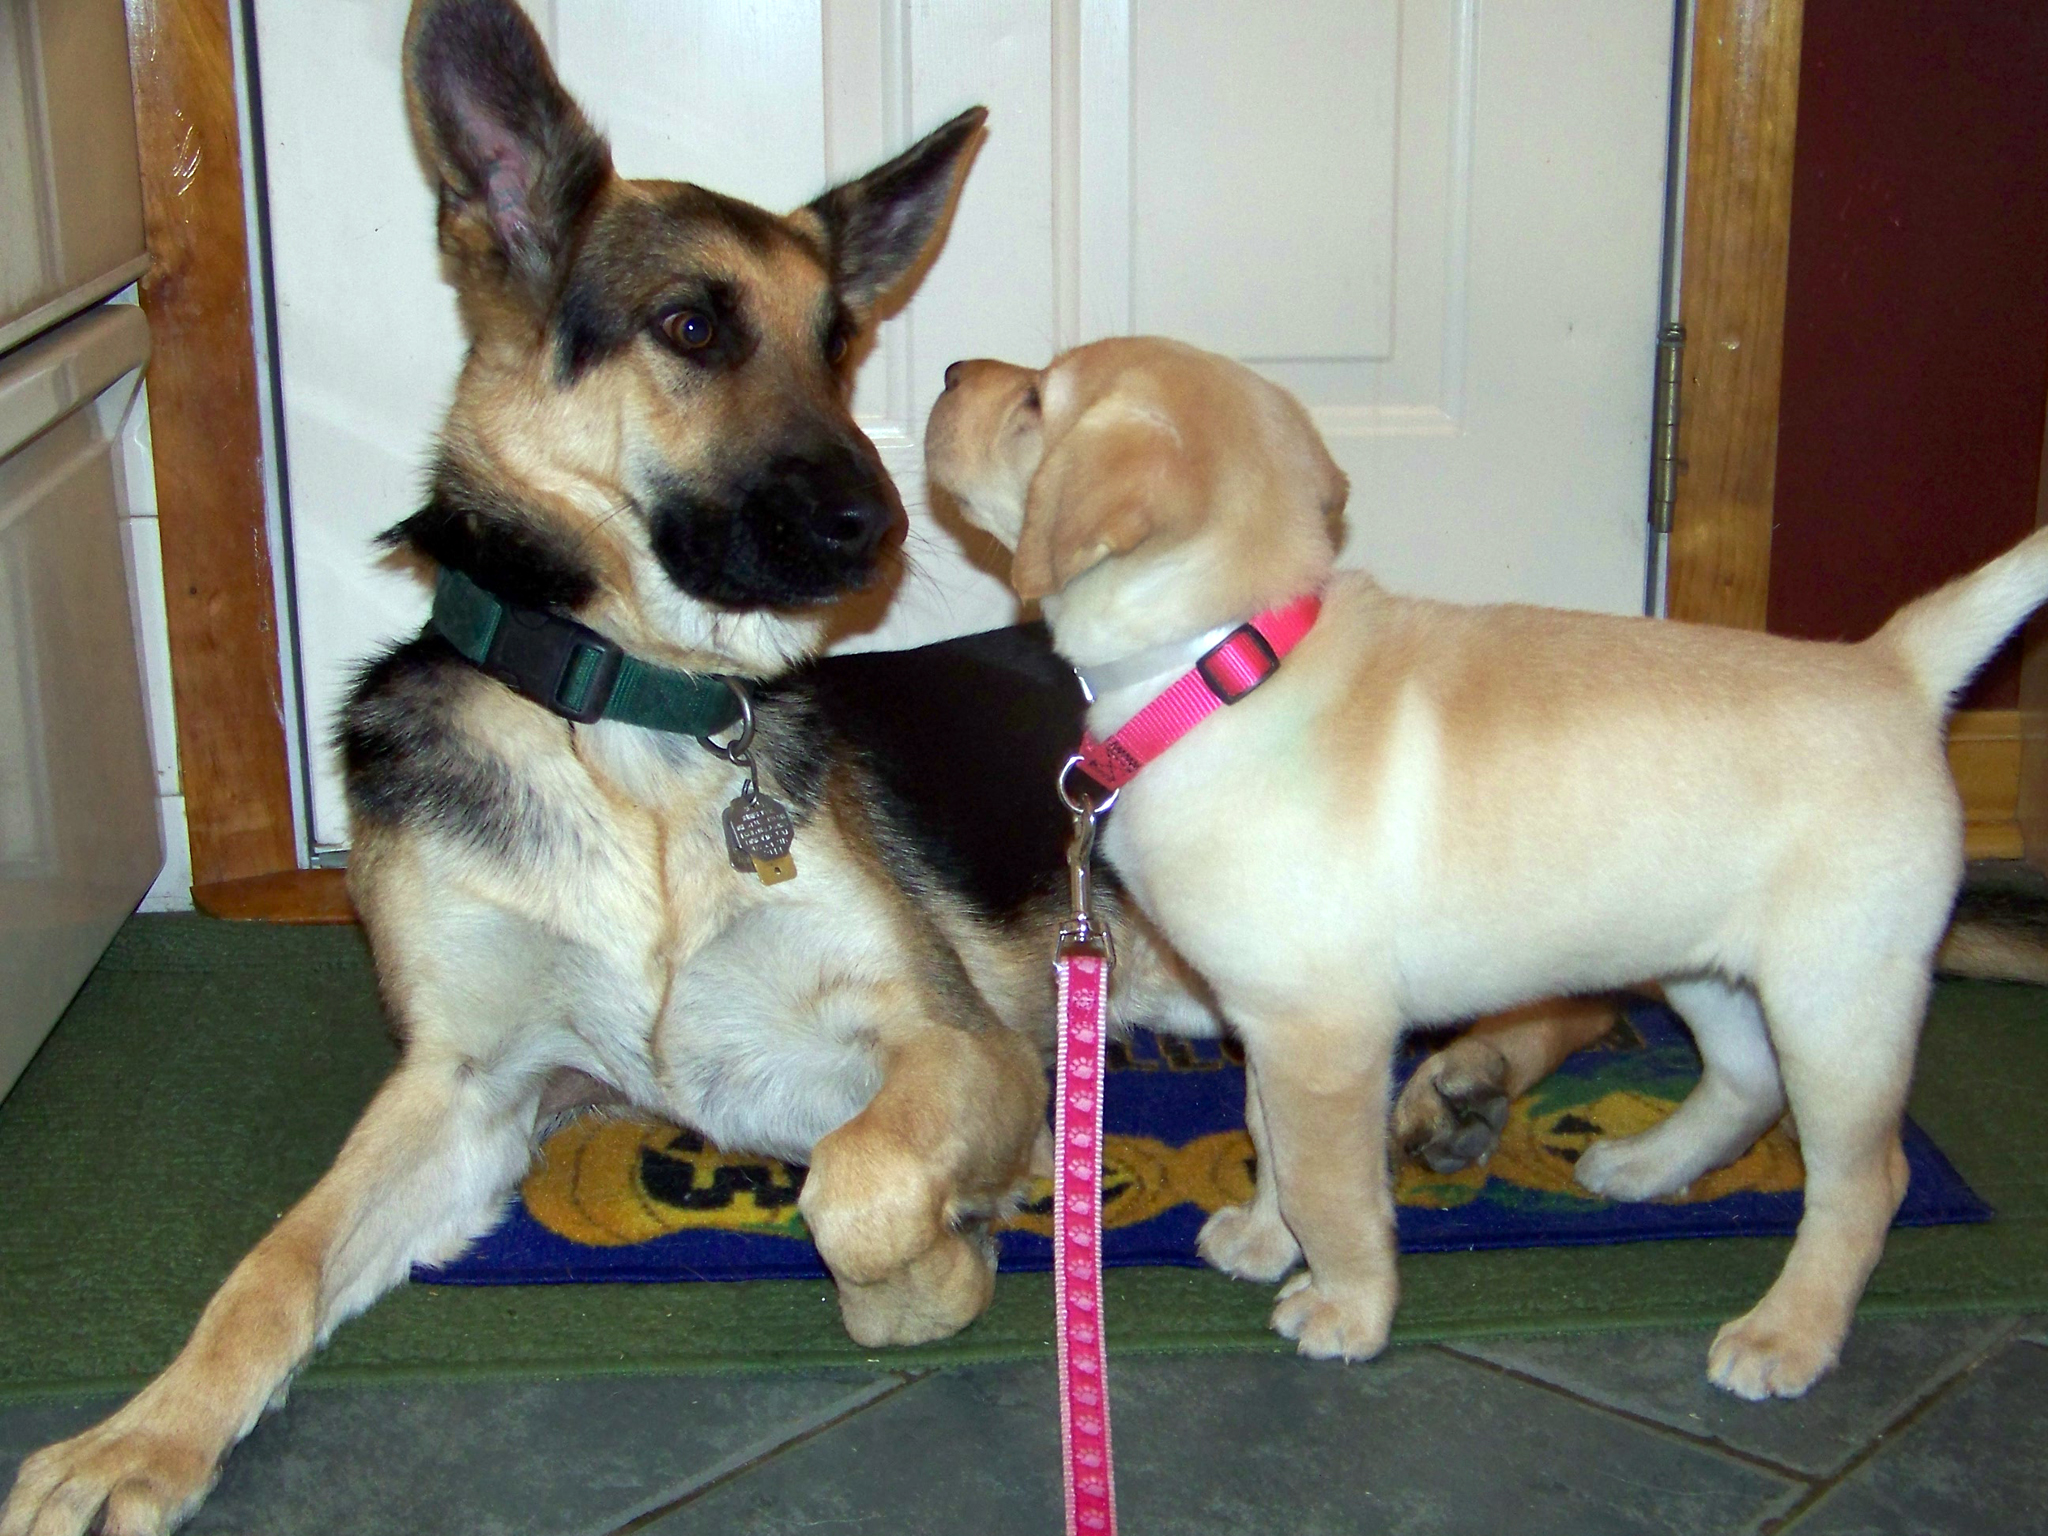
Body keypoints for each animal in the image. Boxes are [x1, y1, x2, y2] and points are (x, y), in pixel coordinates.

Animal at [937, 339, 2048, 1409]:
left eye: (1035, 400)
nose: (948, 372)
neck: (1222, 670)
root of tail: (1891, 671)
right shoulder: (1269, 1014)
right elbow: (1266, 1134)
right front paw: (1262, 1238)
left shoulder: (1324, 1033)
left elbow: (1329, 1183)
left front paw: (1345, 1306)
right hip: (1706, 961)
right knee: (1745, 1080)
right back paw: (1645, 1163)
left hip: (1838, 995)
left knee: (1863, 1182)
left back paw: (1788, 1334)